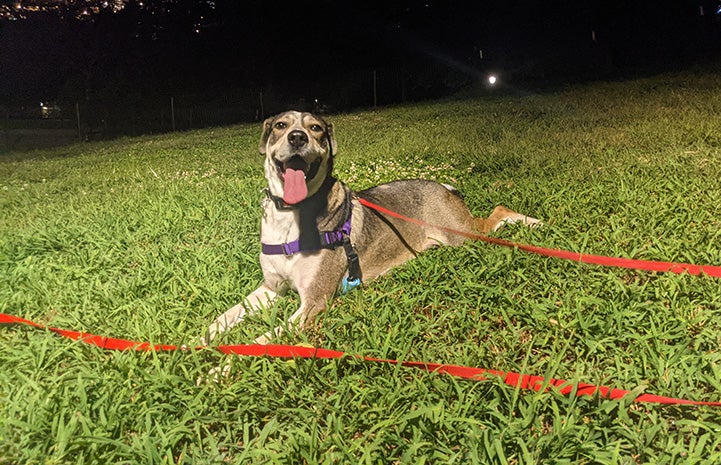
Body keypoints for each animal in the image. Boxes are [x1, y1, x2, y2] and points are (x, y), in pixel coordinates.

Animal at [204, 111, 540, 344]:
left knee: (499, 211)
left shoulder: (313, 303)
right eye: (280, 126)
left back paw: (533, 222)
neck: (293, 215)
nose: (297, 137)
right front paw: (198, 347)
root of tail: (442, 186)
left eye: (316, 128)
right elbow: (220, 319)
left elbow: (259, 341)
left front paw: (217, 370)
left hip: (462, 234)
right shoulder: (271, 288)